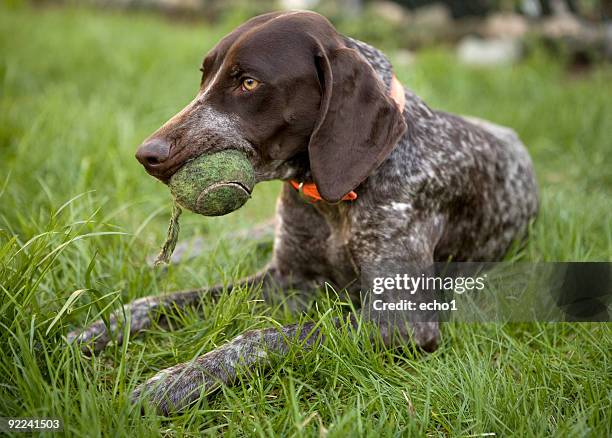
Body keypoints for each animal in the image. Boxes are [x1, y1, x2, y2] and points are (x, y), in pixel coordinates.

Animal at [65, 9, 536, 414]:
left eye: (248, 83)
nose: (147, 154)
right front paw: (99, 328)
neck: (328, 198)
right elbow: (163, 301)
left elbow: (263, 336)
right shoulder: (286, 278)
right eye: (204, 76)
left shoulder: (399, 319)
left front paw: (176, 380)